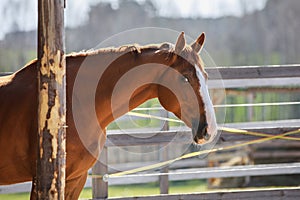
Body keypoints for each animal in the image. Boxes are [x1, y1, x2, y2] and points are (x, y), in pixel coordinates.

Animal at [0, 32, 216, 199]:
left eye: (205, 76)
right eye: (184, 78)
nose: (210, 129)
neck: (73, 101)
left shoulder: (75, 179)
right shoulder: (42, 180)